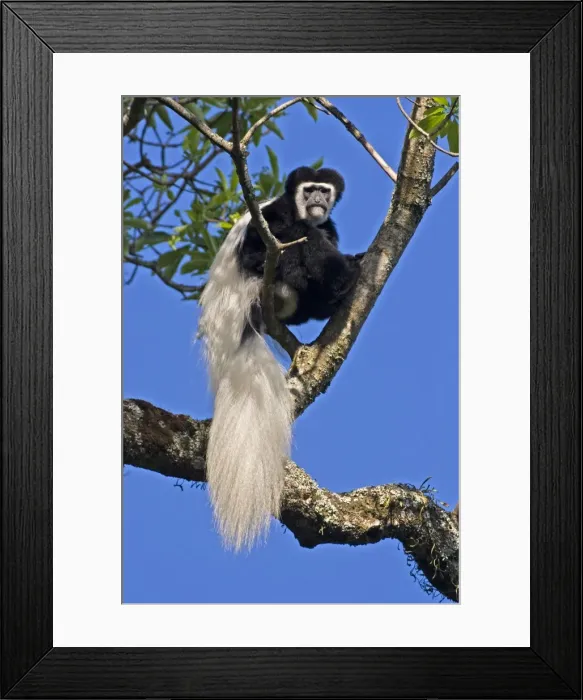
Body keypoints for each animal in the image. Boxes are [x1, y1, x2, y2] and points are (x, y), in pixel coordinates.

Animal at [198, 167, 363, 551]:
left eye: (324, 191)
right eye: (309, 190)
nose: (317, 200)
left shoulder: (329, 221)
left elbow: (326, 229)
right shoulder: (276, 214)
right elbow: (272, 239)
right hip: (267, 276)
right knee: (300, 239)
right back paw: (345, 277)